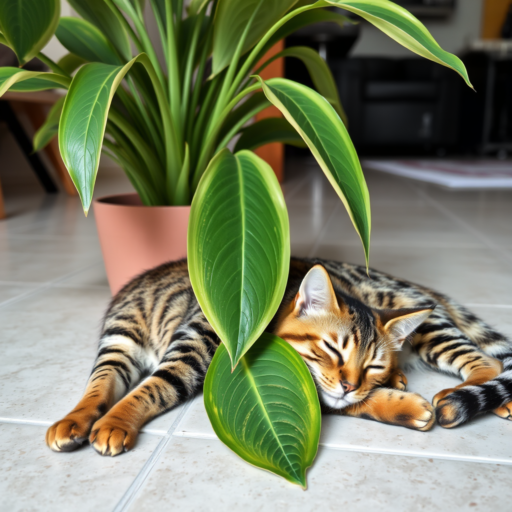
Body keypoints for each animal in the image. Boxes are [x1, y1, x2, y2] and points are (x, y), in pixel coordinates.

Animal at [46, 258, 512, 454]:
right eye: (332, 350)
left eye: (371, 363)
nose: (352, 382)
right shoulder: (131, 349)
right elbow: (103, 387)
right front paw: (83, 419)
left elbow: (153, 387)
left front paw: (113, 422)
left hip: (430, 328)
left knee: (488, 362)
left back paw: (462, 398)